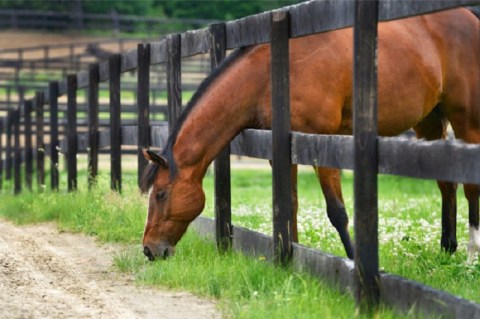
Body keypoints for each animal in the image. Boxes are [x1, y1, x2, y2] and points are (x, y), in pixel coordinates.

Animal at [140, 7, 480, 262]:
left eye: (161, 194)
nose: (149, 249)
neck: (270, 74)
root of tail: (468, 17)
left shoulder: (323, 143)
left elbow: (337, 212)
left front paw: (352, 261)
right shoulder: (282, 151)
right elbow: (289, 205)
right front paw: (290, 255)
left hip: (466, 120)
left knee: (470, 184)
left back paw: (471, 255)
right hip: (428, 122)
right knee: (446, 182)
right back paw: (447, 249)